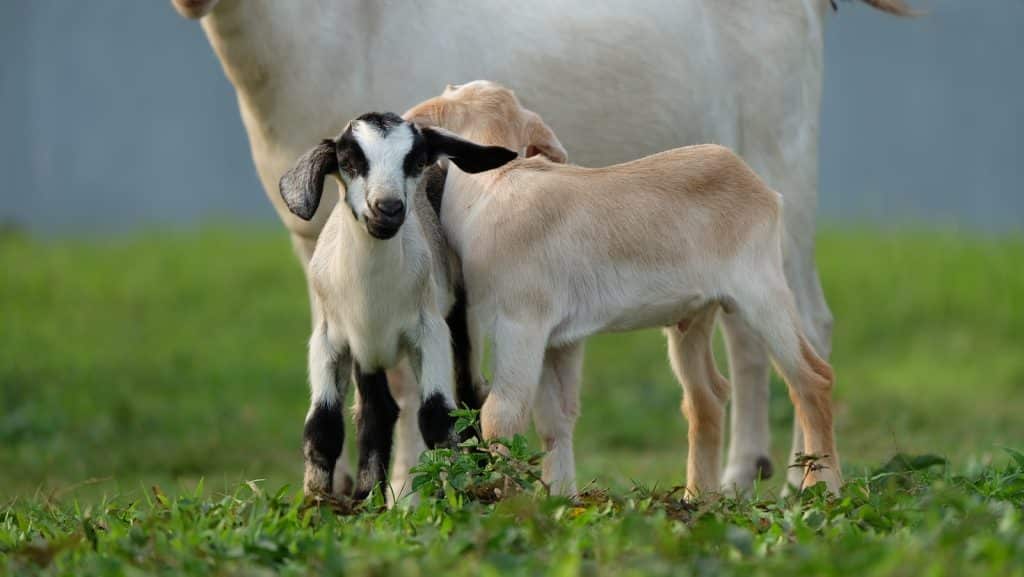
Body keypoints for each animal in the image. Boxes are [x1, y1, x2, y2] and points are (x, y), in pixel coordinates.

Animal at [172, 0, 917, 491]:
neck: (499, 186)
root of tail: (757, 185)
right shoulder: (560, 338)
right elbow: (556, 418)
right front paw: (560, 502)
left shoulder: (520, 323)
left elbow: (498, 415)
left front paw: (496, 502)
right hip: (694, 313)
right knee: (709, 394)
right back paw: (703, 498)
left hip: (766, 276)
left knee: (811, 371)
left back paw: (811, 491)